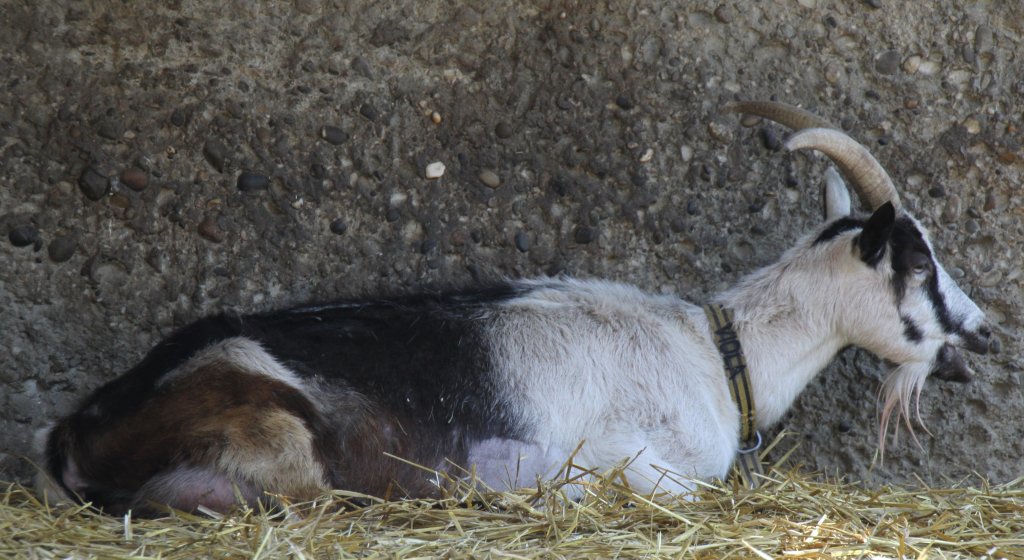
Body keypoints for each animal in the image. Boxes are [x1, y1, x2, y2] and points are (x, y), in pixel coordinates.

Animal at [37, 101, 991, 518]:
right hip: (281, 440)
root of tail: (78, 426)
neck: (719, 352)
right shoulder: (627, 462)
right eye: (918, 261)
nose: (982, 331)